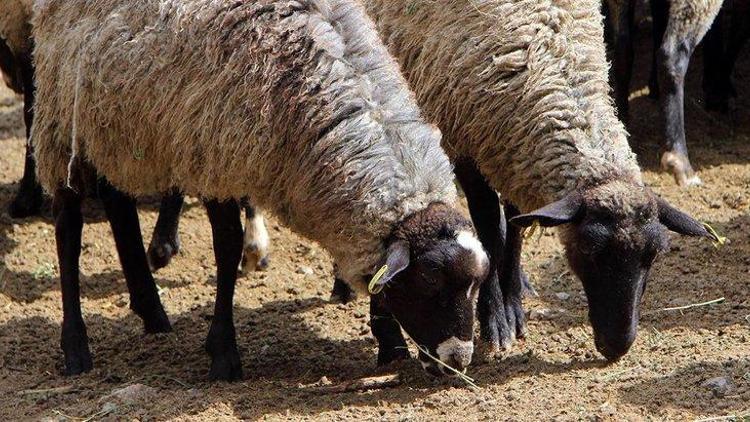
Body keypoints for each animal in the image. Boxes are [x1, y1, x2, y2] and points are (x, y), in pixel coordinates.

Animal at [32, 0, 494, 380]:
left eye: (475, 285)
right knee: (68, 229)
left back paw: (152, 312)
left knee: (118, 204)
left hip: (118, 130)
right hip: (61, 116)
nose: (458, 362)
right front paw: (223, 354)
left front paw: (390, 345)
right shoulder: (215, 158)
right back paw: (76, 348)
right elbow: (227, 248)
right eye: (431, 283)